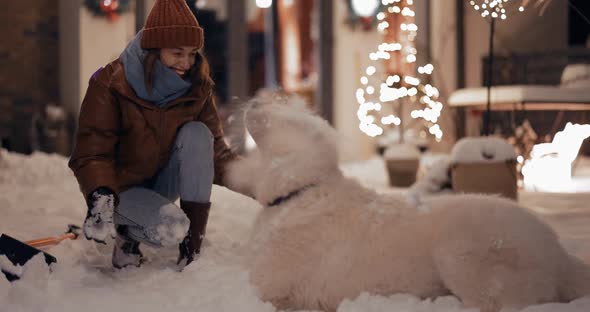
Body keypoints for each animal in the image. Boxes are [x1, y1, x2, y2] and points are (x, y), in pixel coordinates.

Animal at [227, 97, 590, 312]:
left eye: (290, 121)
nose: (254, 102)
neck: (301, 189)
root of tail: (561, 256)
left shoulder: (266, 283)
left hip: (459, 252)